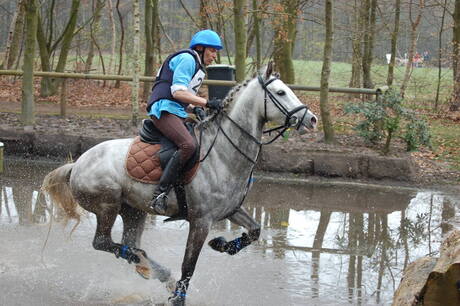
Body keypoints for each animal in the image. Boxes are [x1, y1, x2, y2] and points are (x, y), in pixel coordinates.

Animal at [42, 62, 316, 306]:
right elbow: (189, 264)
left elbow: (255, 231)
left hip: (133, 210)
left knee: (129, 242)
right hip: (107, 206)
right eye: (280, 92)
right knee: (102, 242)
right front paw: (178, 299)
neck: (223, 153)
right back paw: (145, 264)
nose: (311, 119)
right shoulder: (201, 221)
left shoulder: (231, 210)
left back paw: (153, 269)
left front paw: (221, 245)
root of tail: (77, 164)